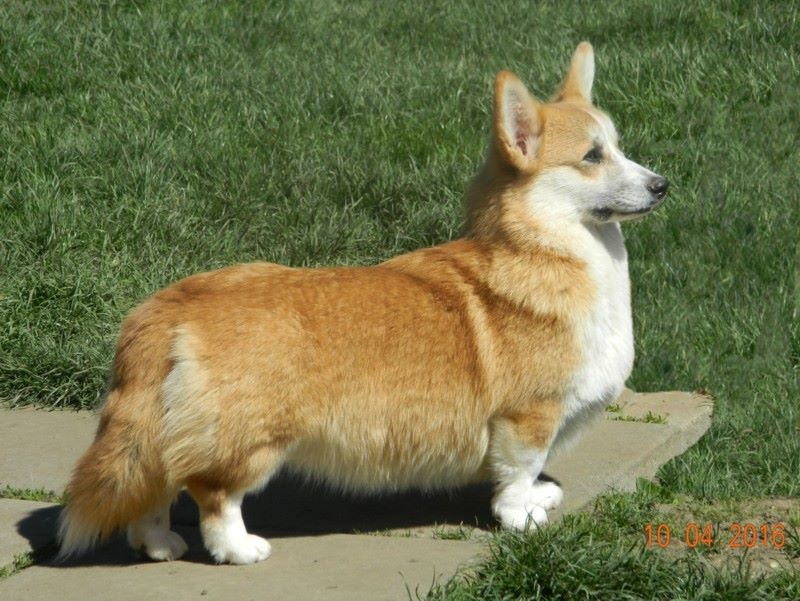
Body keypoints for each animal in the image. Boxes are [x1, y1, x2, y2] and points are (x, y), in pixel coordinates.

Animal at [58, 42, 668, 564]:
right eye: (592, 156)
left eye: (618, 147)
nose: (662, 185)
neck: (545, 248)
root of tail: (168, 308)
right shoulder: (528, 417)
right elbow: (518, 473)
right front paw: (523, 517)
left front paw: (541, 497)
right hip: (253, 440)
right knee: (211, 491)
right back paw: (239, 549)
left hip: (157, 430)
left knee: (155, 487)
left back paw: (159, 545)